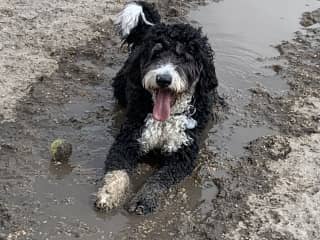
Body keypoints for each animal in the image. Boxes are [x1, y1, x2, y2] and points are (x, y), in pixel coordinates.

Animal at [95, 0, 220, 214]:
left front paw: (144, 199)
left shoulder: (182, 155)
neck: (164, 120)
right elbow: (117, 172)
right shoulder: (128, 141)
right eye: (156, 53)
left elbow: (159, 180)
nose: (163, 79)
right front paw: (108, 194)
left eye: (185, 57)